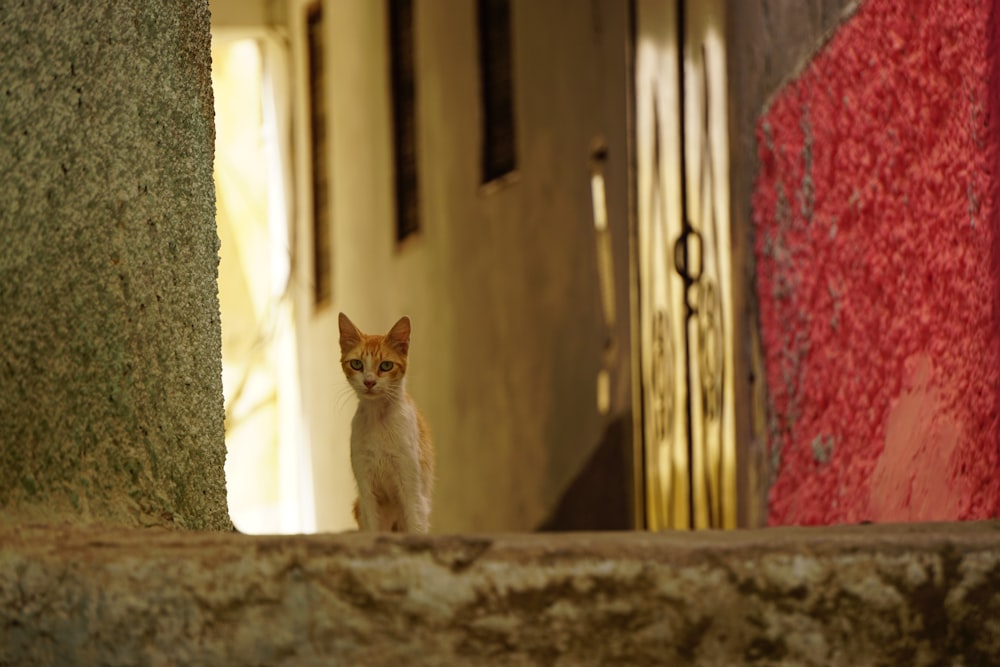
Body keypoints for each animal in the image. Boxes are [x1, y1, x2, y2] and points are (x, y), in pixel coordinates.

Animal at [338, 314, 432, 532]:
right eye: (356, 364)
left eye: (386, 366)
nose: (369, 382)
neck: (378, 420)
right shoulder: (366, 489)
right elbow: (372, 527)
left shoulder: (411, 489)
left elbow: (415, 525)